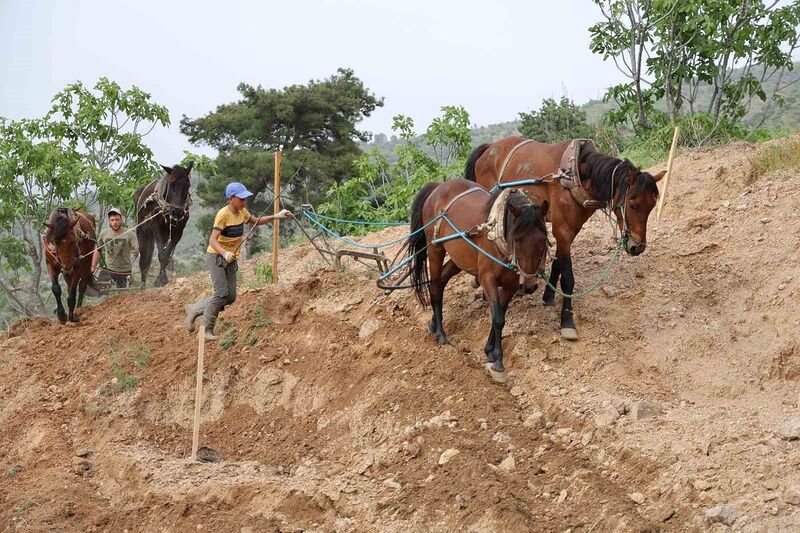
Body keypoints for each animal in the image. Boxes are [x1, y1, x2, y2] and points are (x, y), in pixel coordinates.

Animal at [412, 179, 552, 378]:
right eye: (517, 239)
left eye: (542, 239)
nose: (529, 286)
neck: (499, 239)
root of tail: (438, 186)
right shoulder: (487, 279)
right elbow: (498, 318)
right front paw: (498, 361)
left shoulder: (511, 285)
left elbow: (499, 314)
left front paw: (489, 352)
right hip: (435, 249)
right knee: (435, 287)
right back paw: (440, 333)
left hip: (459, 258)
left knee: (441, 282)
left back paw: (433, 324)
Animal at [466, 135, 664, 338]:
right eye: (632, 204)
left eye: (652, 206)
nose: (637, 247)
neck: (574, 176)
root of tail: (489, 148)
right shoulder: (562, 230)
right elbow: (568, 278)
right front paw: (567, 321)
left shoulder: (570, 230)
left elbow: (557, 263)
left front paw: (548, 295)